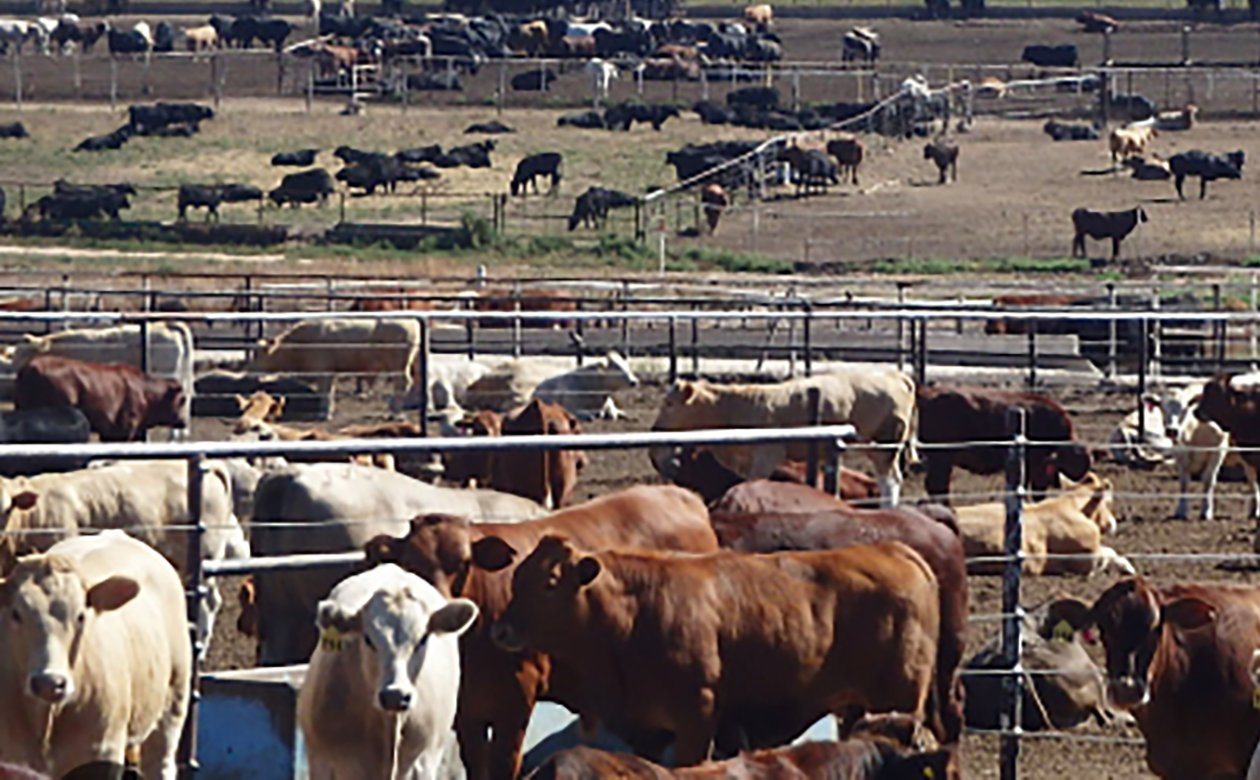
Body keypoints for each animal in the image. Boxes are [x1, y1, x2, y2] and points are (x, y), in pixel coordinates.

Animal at [362, 485, 718, 780]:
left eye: (464, 563)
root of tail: (683, 496)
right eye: (409, 564)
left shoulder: (516, 700)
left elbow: (504, 765)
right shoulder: (467, 712)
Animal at [489, 536, 942, 763]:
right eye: (517, 577)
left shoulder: (697, 717)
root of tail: (898, 551)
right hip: (854, 707)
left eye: (549, 583)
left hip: (899, 699)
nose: (501, 629)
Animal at [650, 371, 916, 506]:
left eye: (669, 403)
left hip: (885, 443)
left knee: (890, 481)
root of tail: (895, 376)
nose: (655, 429)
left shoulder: (768, 455)